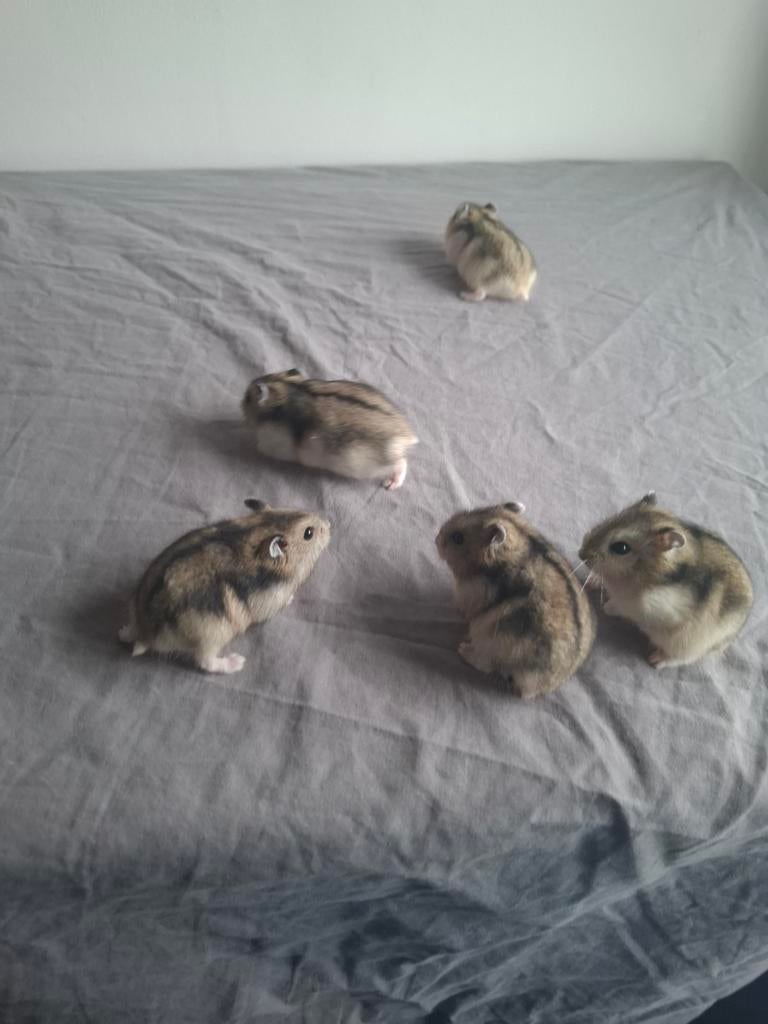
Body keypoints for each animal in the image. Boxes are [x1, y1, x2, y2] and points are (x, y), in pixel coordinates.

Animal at [119, 499, 330, 673]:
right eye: (308, 533)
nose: (329, 524)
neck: (258, 531)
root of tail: (146, 634)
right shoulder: (271, 601)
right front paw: (292, 598)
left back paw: (123, 632)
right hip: (212, 636)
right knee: (206, 663)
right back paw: (237, 662)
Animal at [242, 369, 418, 490]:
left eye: (248, 398)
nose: (241, 405)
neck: (287, 391)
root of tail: (406, 436)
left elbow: (260, 447)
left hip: (370, 466)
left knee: (401, 463)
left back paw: (390, 484)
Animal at [436, 503, 595, 698]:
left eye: (458, 538)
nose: (436, 539)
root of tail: (544, 686)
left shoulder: (472, 592)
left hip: (492, 641)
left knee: (485, 664)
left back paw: (463, 650)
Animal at [579, 493, 753, 668]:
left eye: (621, 548)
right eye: (610, 520)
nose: (581, 554)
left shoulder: (647, 607)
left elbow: (620, 605)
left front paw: (606, 607)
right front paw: (592, 581)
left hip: (689, 646)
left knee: (680, 659)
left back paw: (655, 660)